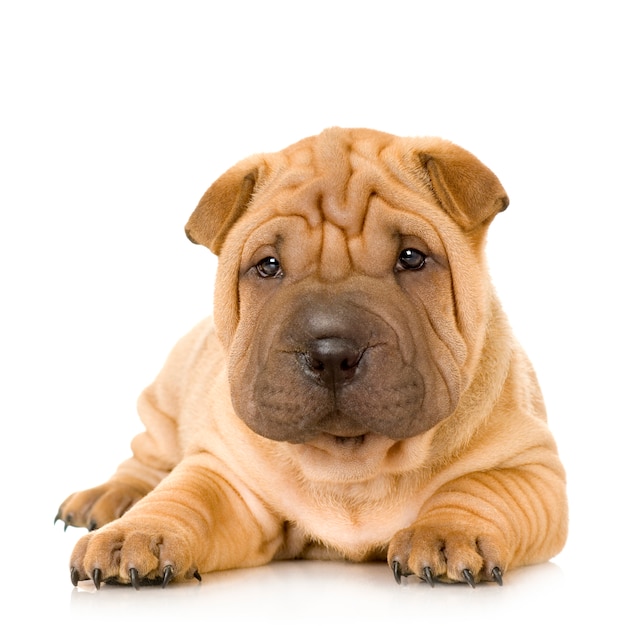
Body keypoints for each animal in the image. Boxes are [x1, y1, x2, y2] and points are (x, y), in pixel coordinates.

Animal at [57, 125, 564, 584]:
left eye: (412, 258)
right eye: (268, 266)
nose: (332, 352)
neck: (352, 465)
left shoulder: (531, 469)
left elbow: (479, 489)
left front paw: (445, 534)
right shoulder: (227, 475)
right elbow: (184, 497)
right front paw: (136, 534)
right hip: (164, 403)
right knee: (145, 461)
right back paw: (107, 498)